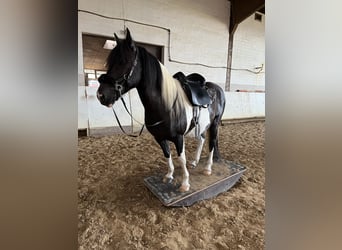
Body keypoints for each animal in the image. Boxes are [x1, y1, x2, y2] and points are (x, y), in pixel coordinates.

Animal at [96, 28, 226, 191]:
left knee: (212, 143)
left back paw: (208, 168)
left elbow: (181, 159)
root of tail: (218, 88)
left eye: (123, 61)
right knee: (202, 139)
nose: (101, 95)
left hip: (214, 124)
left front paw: (185, 183)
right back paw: (195, 162)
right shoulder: (159, 137)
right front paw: (169, 176)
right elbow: (167, 155)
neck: (166, 104)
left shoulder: (178, 137)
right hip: (202, 125)